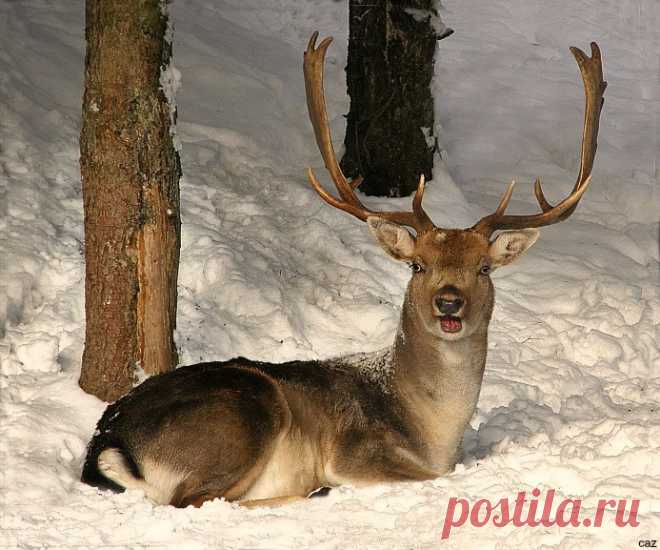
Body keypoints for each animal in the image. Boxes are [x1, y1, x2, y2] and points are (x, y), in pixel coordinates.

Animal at [81, 33, 606, 509]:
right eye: (418, 265)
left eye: (483, 268)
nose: (449, 302)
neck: (434, 434)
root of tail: (108, 442)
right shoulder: (356, 451)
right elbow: (429, 479)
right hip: (242, 413)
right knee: (192, 501)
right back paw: (313, 490)